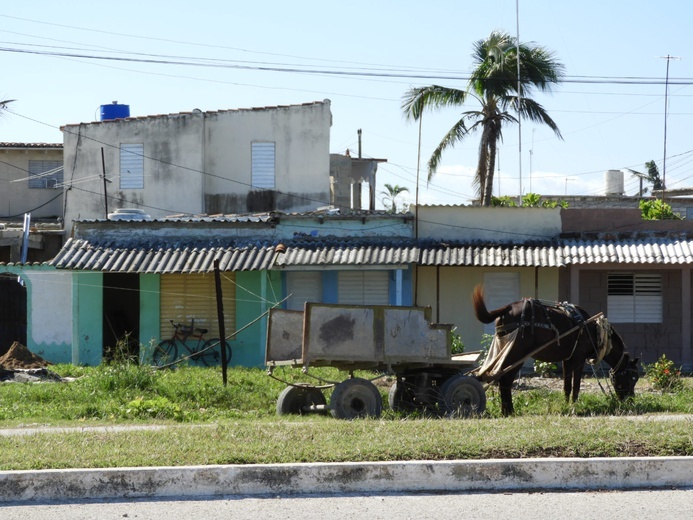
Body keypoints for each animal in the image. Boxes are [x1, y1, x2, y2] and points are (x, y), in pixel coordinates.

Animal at [470, 284, 636, 414]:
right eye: (633, 377)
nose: (631, 401)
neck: (594, 331)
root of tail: (507, 308)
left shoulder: (567, 359)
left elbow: (567, 386)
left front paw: (566, 405)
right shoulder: (579, 358)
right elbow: (576, 386)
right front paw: (575, 406)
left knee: (501, 379)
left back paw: (506, 410)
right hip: (516, 355)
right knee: (505, 379)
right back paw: (509, 411)